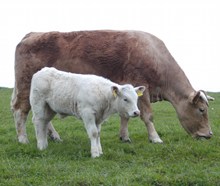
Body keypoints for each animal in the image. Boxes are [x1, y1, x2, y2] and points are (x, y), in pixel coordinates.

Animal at [11, 29, 214, 145]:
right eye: (202, 110)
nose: (209, 134)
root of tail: (32, 34)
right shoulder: (143, 87)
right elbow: (148, 116)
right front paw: (155, 138)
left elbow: (126, 116)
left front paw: (124, 137)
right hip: (25, 86)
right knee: (20, 110)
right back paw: (22, 139)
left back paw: (54, 137)